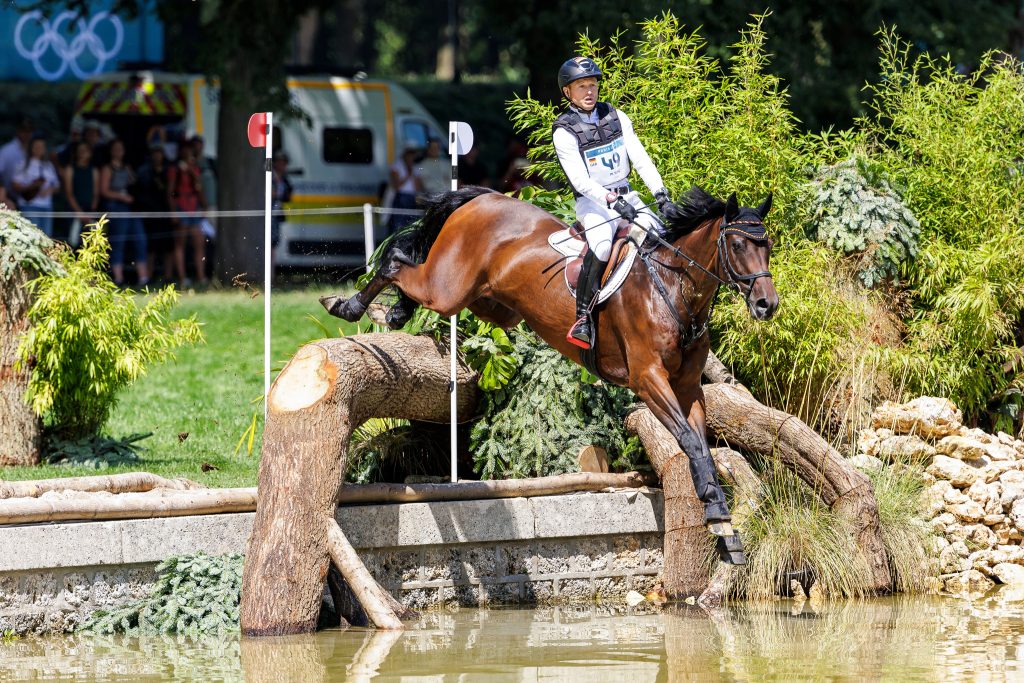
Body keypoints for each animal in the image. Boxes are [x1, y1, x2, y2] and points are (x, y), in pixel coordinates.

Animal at [319, 185, 774, 561]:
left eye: (768, 245)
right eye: (737, 244)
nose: (768, 305)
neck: (672, 290)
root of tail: (485, 198)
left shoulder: (688, 388)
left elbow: (701, 445)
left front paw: (724, 525)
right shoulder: (649, 380)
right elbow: (690, 442)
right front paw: (717, 516)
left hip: (490, 304)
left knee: (411, 275)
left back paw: (393, 312)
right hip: (447, 289)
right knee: (396, 262)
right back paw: (349, 306)